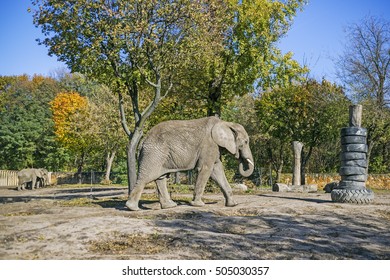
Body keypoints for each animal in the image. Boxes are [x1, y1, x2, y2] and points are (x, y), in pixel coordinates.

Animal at [125, 117, 256, 211]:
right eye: (245, 142)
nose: (240, 158)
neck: (226, 123)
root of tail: (143, 140)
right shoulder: (209, 145)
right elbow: (206, 169)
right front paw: (198, 205)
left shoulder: (214, 148)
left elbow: (217, 170)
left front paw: (233, 204)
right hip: (154, 154)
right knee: (146, 177)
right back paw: (132, 208)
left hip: (158, 155)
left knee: (160, 178)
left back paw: (170, 206)